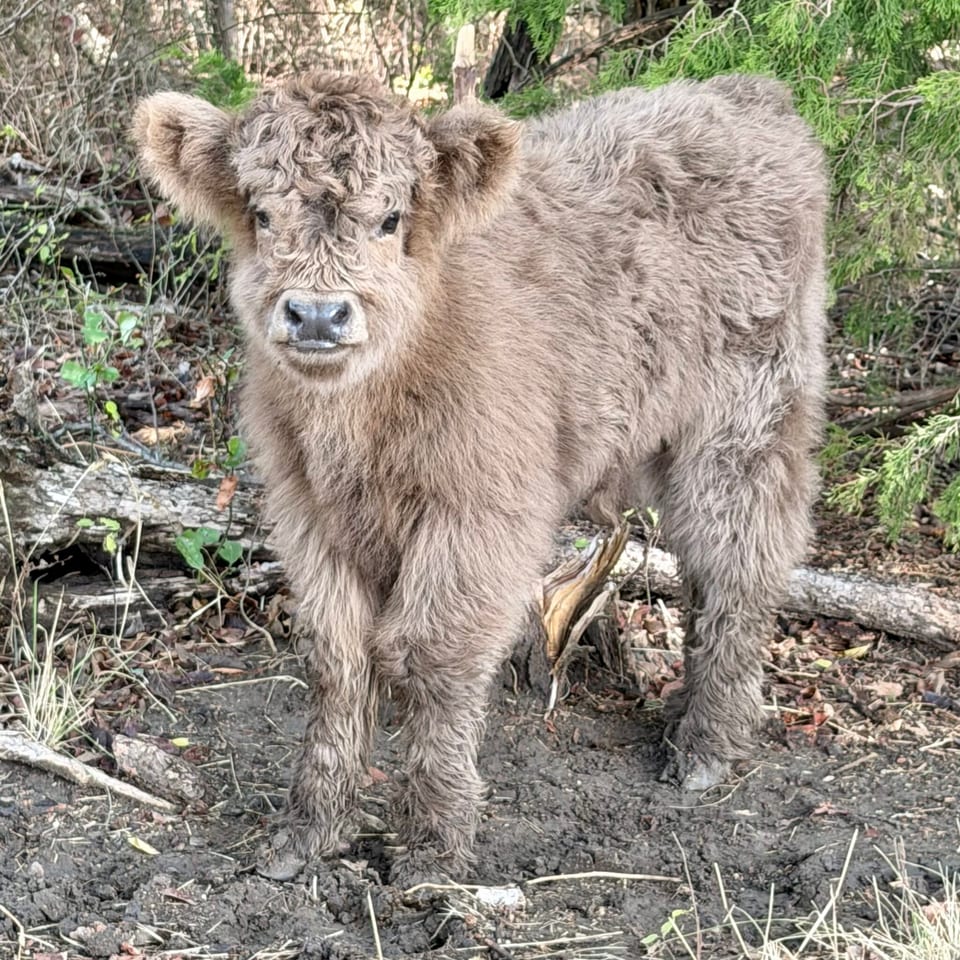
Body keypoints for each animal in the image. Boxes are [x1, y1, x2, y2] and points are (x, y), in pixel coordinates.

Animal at [134, 70, 827, 882]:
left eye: (391, 218)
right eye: (263, 213)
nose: (317, 315)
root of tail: (744, 93)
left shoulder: (481, 514)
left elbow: (433, 655)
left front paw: (433, 845)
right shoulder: (307, 513)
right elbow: (337, 661)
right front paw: (310, 831)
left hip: (746, 423)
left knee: (737, 567)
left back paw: (707, 747)